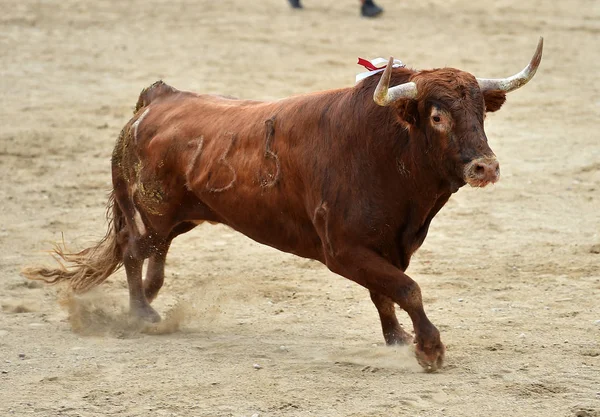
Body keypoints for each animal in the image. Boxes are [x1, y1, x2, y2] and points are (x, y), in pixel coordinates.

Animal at [25, 38, 544, 370]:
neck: (385, 151)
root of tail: (157, 99)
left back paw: (149, 302)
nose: (485, 167)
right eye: (437, 116)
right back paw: (141, 315)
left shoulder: (390, 247)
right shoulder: (344, 251)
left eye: (479, 112)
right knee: (136, 251)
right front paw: (429, 349)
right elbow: (406, 288)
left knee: (150, 253)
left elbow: (386, 291)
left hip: (180, 215)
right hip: (154, 211)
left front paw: (397, 340)